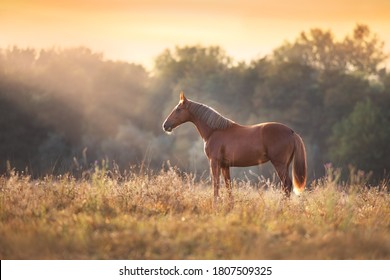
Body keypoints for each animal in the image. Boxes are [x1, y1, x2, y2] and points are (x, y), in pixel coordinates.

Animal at [162, 93, 308, 205]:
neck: (215, 131)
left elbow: (216, 184)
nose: (165, 125)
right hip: (285, 164)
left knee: (287, 185)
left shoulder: (214, 162)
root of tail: (291, 132)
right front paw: (230, 206)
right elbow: (228, 186)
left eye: (178, 109)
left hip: (279, 164)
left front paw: (215, 205)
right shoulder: (225, 165)